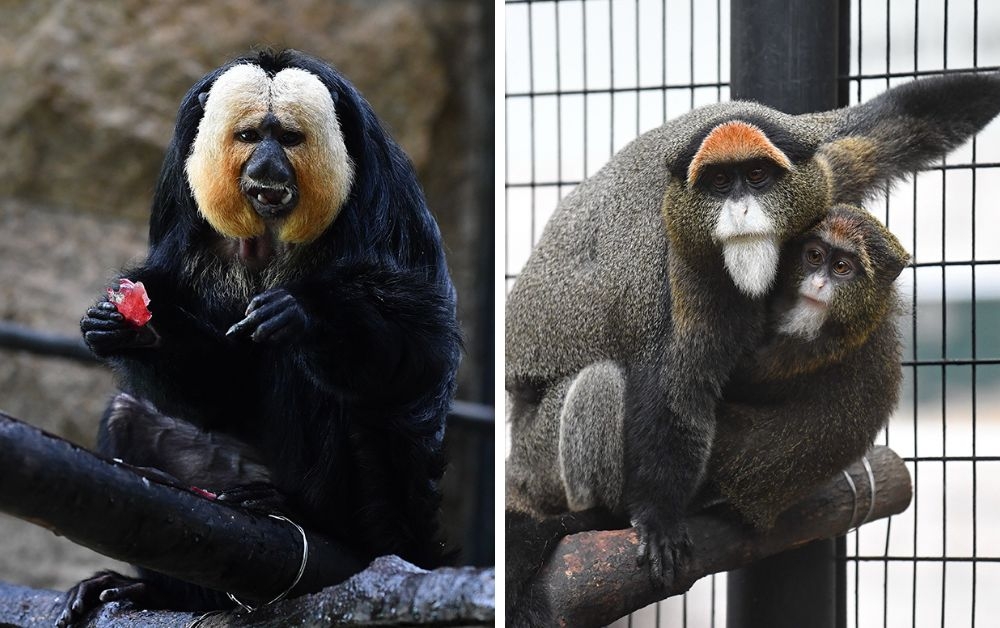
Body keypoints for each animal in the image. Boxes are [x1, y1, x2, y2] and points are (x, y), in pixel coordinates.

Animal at [58, 49, 460, 626]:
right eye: (250, 136)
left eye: (289, 138)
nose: (268, 166)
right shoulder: (181, 218)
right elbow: (224, 390)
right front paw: (134, 330)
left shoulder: (387, 205)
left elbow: (420, 354)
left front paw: (307, 316)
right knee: (128, 415)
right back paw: (163, 591)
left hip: (383, 513)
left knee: (320, 381)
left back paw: (303, 513)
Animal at [505, 73, 1000, 620]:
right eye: (721, 183)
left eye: (758, 177)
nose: (741, 209)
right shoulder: (677, 261)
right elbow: (673, 389)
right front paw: (658, 518)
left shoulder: (819, 163)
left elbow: (900, 122)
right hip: (537, 458)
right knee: (600, 381)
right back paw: (596, 516)